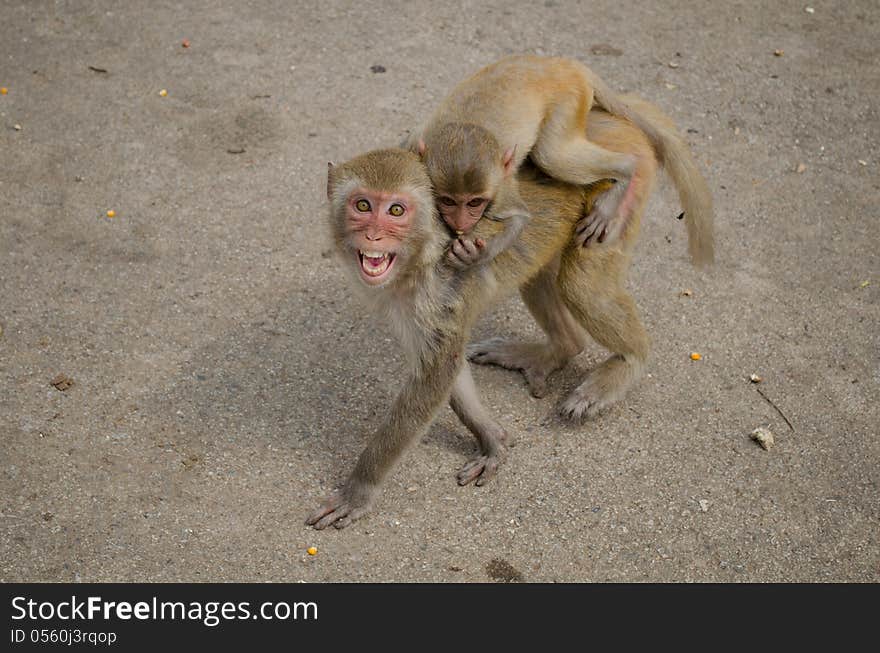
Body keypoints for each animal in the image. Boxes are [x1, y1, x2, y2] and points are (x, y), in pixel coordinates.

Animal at [306, 100, 712, 528]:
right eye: (363, 205)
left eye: (396, 209)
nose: (373, 236)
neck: (420, 255)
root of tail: (608, 121)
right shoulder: (406, 304)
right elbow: (447, 367)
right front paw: (493, 440)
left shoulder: (436, 292)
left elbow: (434, 376)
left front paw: (359, 489)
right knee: (540, 282)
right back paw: (558, 349)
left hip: (618, 204)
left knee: (581, 285)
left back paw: (627, 364)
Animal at [408, 54, 716, 268]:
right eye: (448, 201)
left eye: (474, 203)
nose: (460, 222)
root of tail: (563, 65)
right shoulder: (413, 151)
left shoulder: (499, 187)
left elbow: (519, 218)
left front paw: (477, 256)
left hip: (568, 101)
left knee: (553, 155)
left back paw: (625, 172)